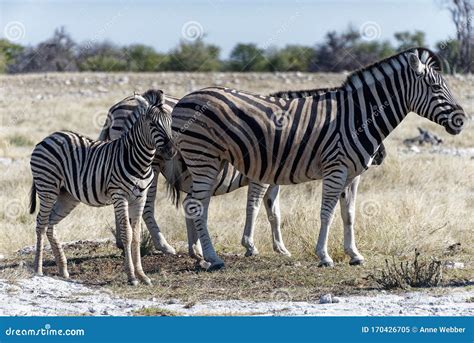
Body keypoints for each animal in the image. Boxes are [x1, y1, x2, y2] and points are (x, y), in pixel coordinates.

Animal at [28, 90, 172, 286]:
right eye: (153, 124)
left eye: (170, 122)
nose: (172, 151)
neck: (139, 161)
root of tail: (48, 137)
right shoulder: (120, 196)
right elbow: (127, 234)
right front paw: (132, 276)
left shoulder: (139, 198)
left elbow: (136, 236)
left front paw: (143, 276)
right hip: (47, 187)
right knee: (41, 224)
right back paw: (38, 269)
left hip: (67, 196)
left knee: (50, 224)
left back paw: (63, 269)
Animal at [100, 88, 386, 260]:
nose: (379, 156)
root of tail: (116, 107)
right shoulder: (260, 177)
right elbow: (254, 208)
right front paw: (250, 246)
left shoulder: (273, 178)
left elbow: (274, 212)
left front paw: (281, 248)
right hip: (150, 164)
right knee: (147, 207)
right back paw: (163, 245)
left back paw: (124, 243)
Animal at [169, 47, 466, 270]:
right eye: (435, 87)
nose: (461, 120)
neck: (356, 117)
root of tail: (184, 99)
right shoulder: (336, 169)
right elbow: (327, 213)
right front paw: (324, 256)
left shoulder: (352, 175)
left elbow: (349, 214)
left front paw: (354, 254)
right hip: (203, 157)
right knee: (197, 205)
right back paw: (213, 258)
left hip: (210, 160)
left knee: (195, 204)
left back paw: (201, 255)